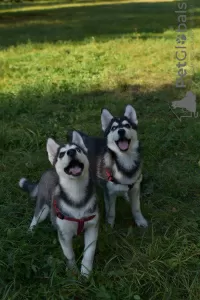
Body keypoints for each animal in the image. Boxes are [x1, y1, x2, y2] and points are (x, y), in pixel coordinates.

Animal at [19, 132, 99, 278]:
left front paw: (85, 273)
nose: (71, 152)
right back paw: (31, 231)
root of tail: (49, 170)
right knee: (35, 217)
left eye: (78, 149)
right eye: (61, 154)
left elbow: (88, 254)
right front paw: (73, 272)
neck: (76, 193)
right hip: (43, 209)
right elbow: (69, 254)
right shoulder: (64, 234)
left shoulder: (92, 227)